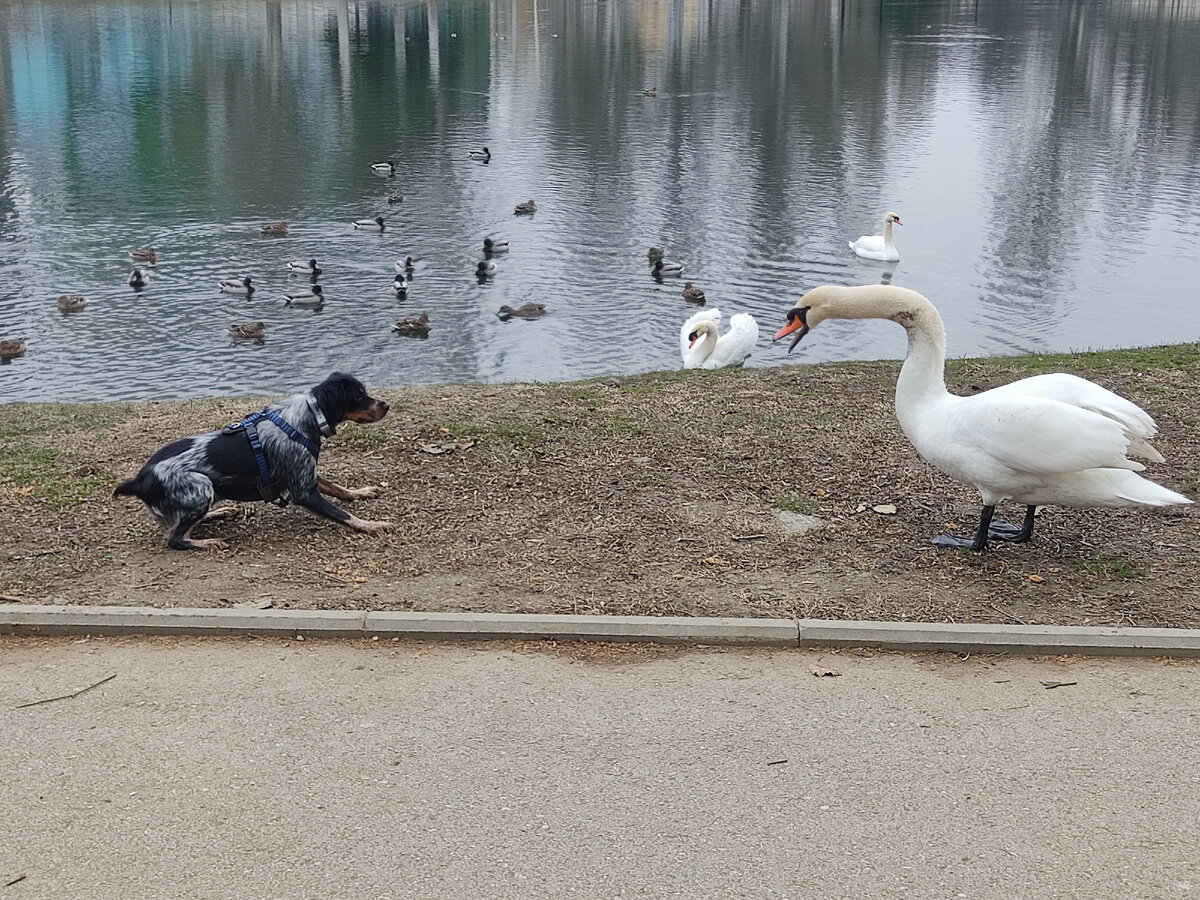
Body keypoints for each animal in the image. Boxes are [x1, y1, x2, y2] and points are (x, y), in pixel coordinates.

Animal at [113, 372, 393, 549]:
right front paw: (371, 525)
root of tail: (139, 480)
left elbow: (338, 489)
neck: (309, 417)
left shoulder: (304, 475)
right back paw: (207, 542)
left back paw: (221, 512)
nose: (386, 405)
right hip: (201, 486)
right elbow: (343, 514)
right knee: (174, 538)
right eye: (358, 396)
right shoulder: (303, 491)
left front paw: (360, 492)